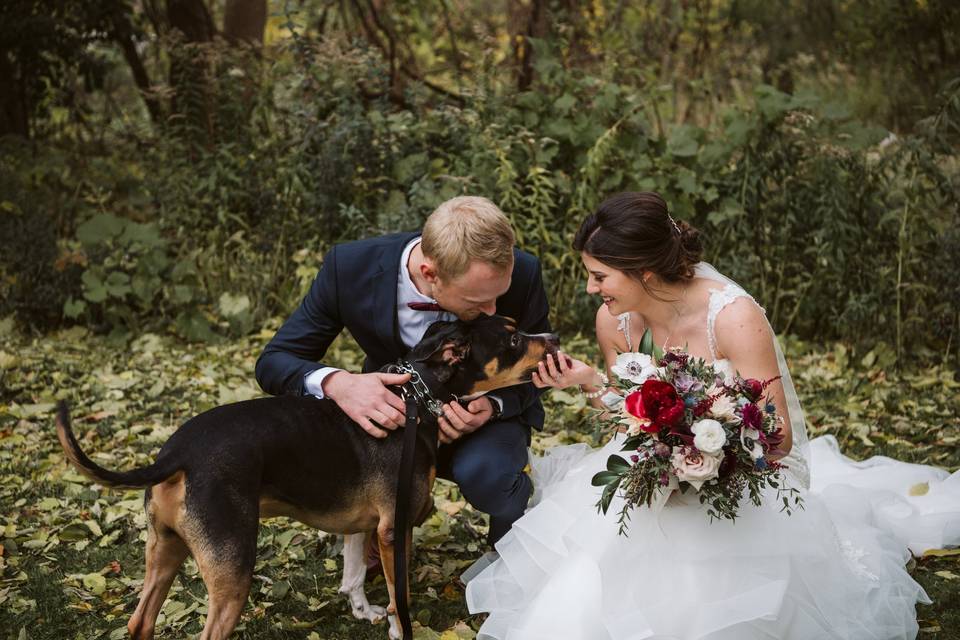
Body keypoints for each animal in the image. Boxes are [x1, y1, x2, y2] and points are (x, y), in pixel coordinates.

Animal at [54, 316, 564, 640]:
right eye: (513, 340)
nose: (555, 336)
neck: (415, 398)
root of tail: (177, 452)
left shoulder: (364, 526)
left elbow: (354, 576)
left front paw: (363, 611)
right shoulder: (393, 529)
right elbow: (399, 600)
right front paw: (397, 626)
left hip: (165, 550)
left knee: (140, 623)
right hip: (231, 571)